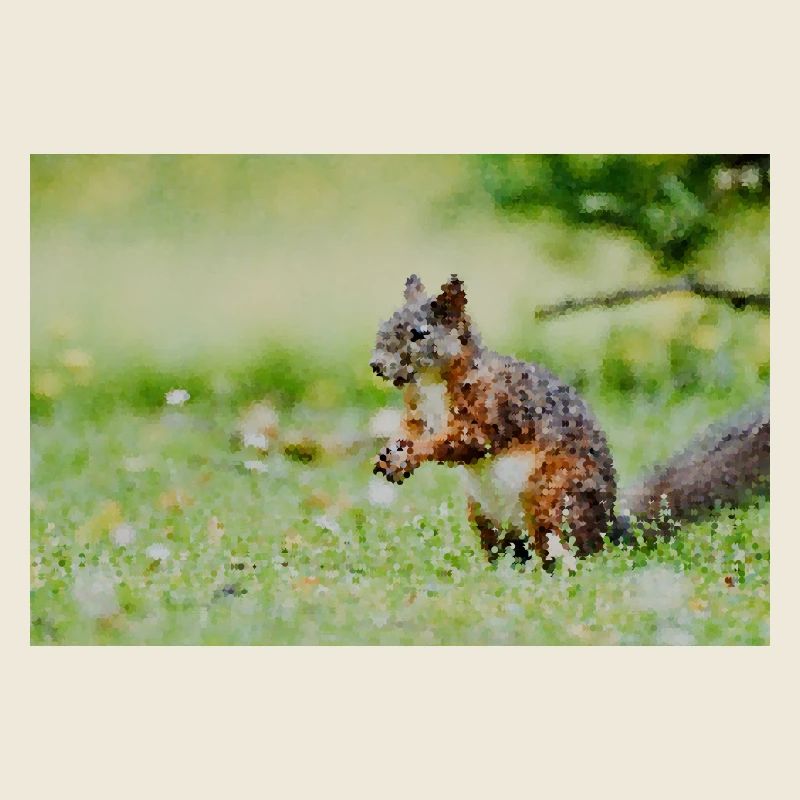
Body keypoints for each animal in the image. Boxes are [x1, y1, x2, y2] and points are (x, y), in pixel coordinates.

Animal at [371, 274, 769, 570]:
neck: (432, 384)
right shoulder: (419, 412)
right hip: (484, 515)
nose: (376, 365)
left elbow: (467, 440)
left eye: (420, 333)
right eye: (385, 324)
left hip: (553, 496)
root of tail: (607, 530)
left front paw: (415, 454)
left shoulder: (496, 407)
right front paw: (391, 453)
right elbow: (410, 429)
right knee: (509, 550)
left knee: (561, 549)